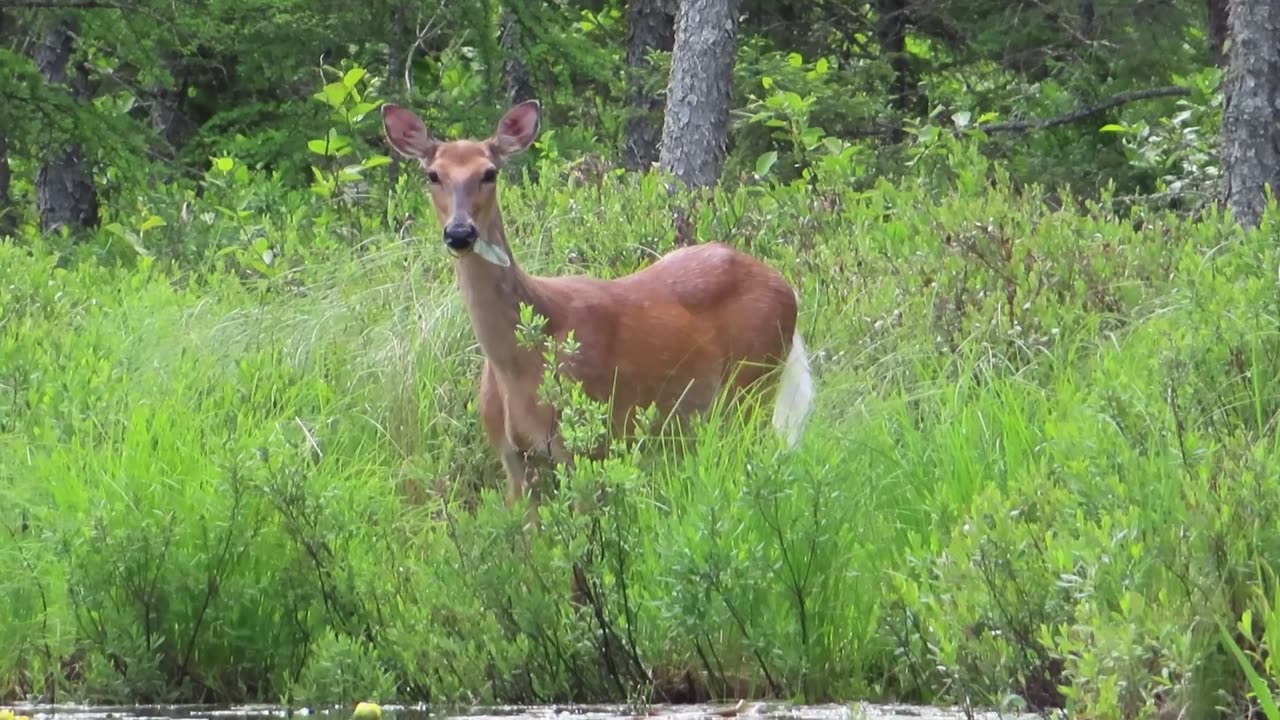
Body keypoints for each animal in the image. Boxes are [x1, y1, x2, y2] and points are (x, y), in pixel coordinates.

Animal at [381, 96, 819, 520]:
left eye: (490, 173)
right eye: (432, 175)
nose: (459, 233)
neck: (518, 363)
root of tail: (787, 288)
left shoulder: (590, 441)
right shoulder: (513, 458)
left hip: (754, 385)